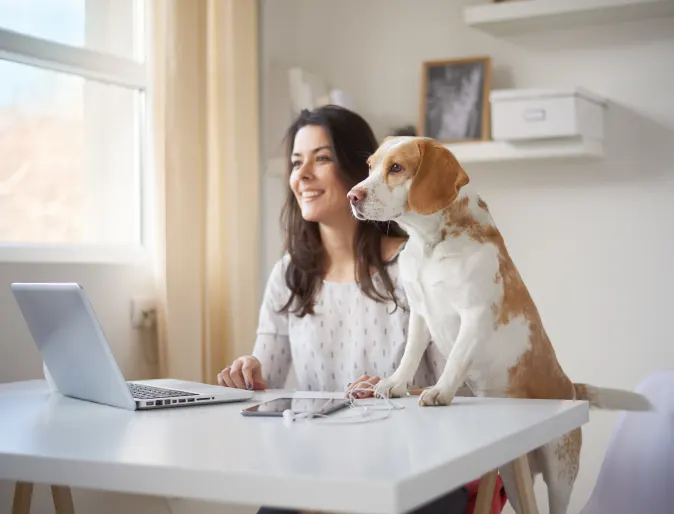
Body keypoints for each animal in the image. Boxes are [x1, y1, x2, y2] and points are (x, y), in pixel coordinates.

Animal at [344, 135, 648, 512]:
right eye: (370, 166)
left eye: (396, 168)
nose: (351, 196)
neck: (431, 244)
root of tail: (571, 388)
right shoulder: (419, 313)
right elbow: (410, 357)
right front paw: (395, 384)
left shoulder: (474, 314)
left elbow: (455, 360)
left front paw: (440, 392)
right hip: (514, 479)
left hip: (560, 474)